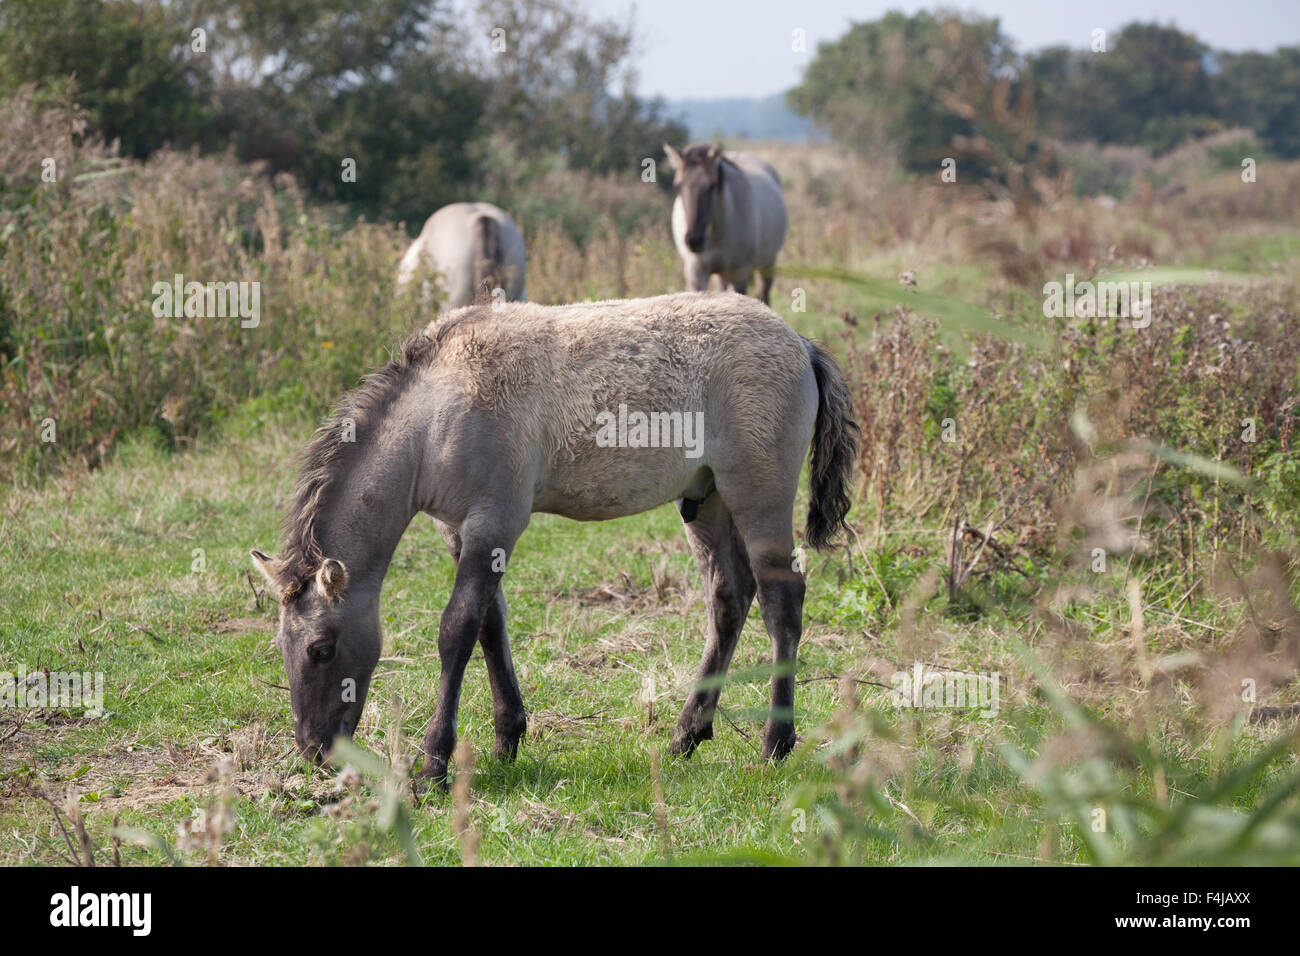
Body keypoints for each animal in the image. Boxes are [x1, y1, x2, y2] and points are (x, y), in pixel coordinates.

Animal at [250, 291, 857, 783]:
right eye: (281, 647)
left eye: (322, 649)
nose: (314, 750)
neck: (439, 412)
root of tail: (800, 343)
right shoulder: (460, 530)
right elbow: (490, 625)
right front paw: (507, 739)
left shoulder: (494, 521)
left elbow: (457, 629)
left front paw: (433, 764)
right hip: (706, 501)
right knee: (730, 599)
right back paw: (686, 735)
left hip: (758, 495)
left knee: (782, 602)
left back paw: (775, 744)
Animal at [664, 144, 788, 305]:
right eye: (677, 186)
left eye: (711, 186)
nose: (694, 240)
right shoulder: (696, 269)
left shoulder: (739, 274)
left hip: (767, 263)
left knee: (764, 294)